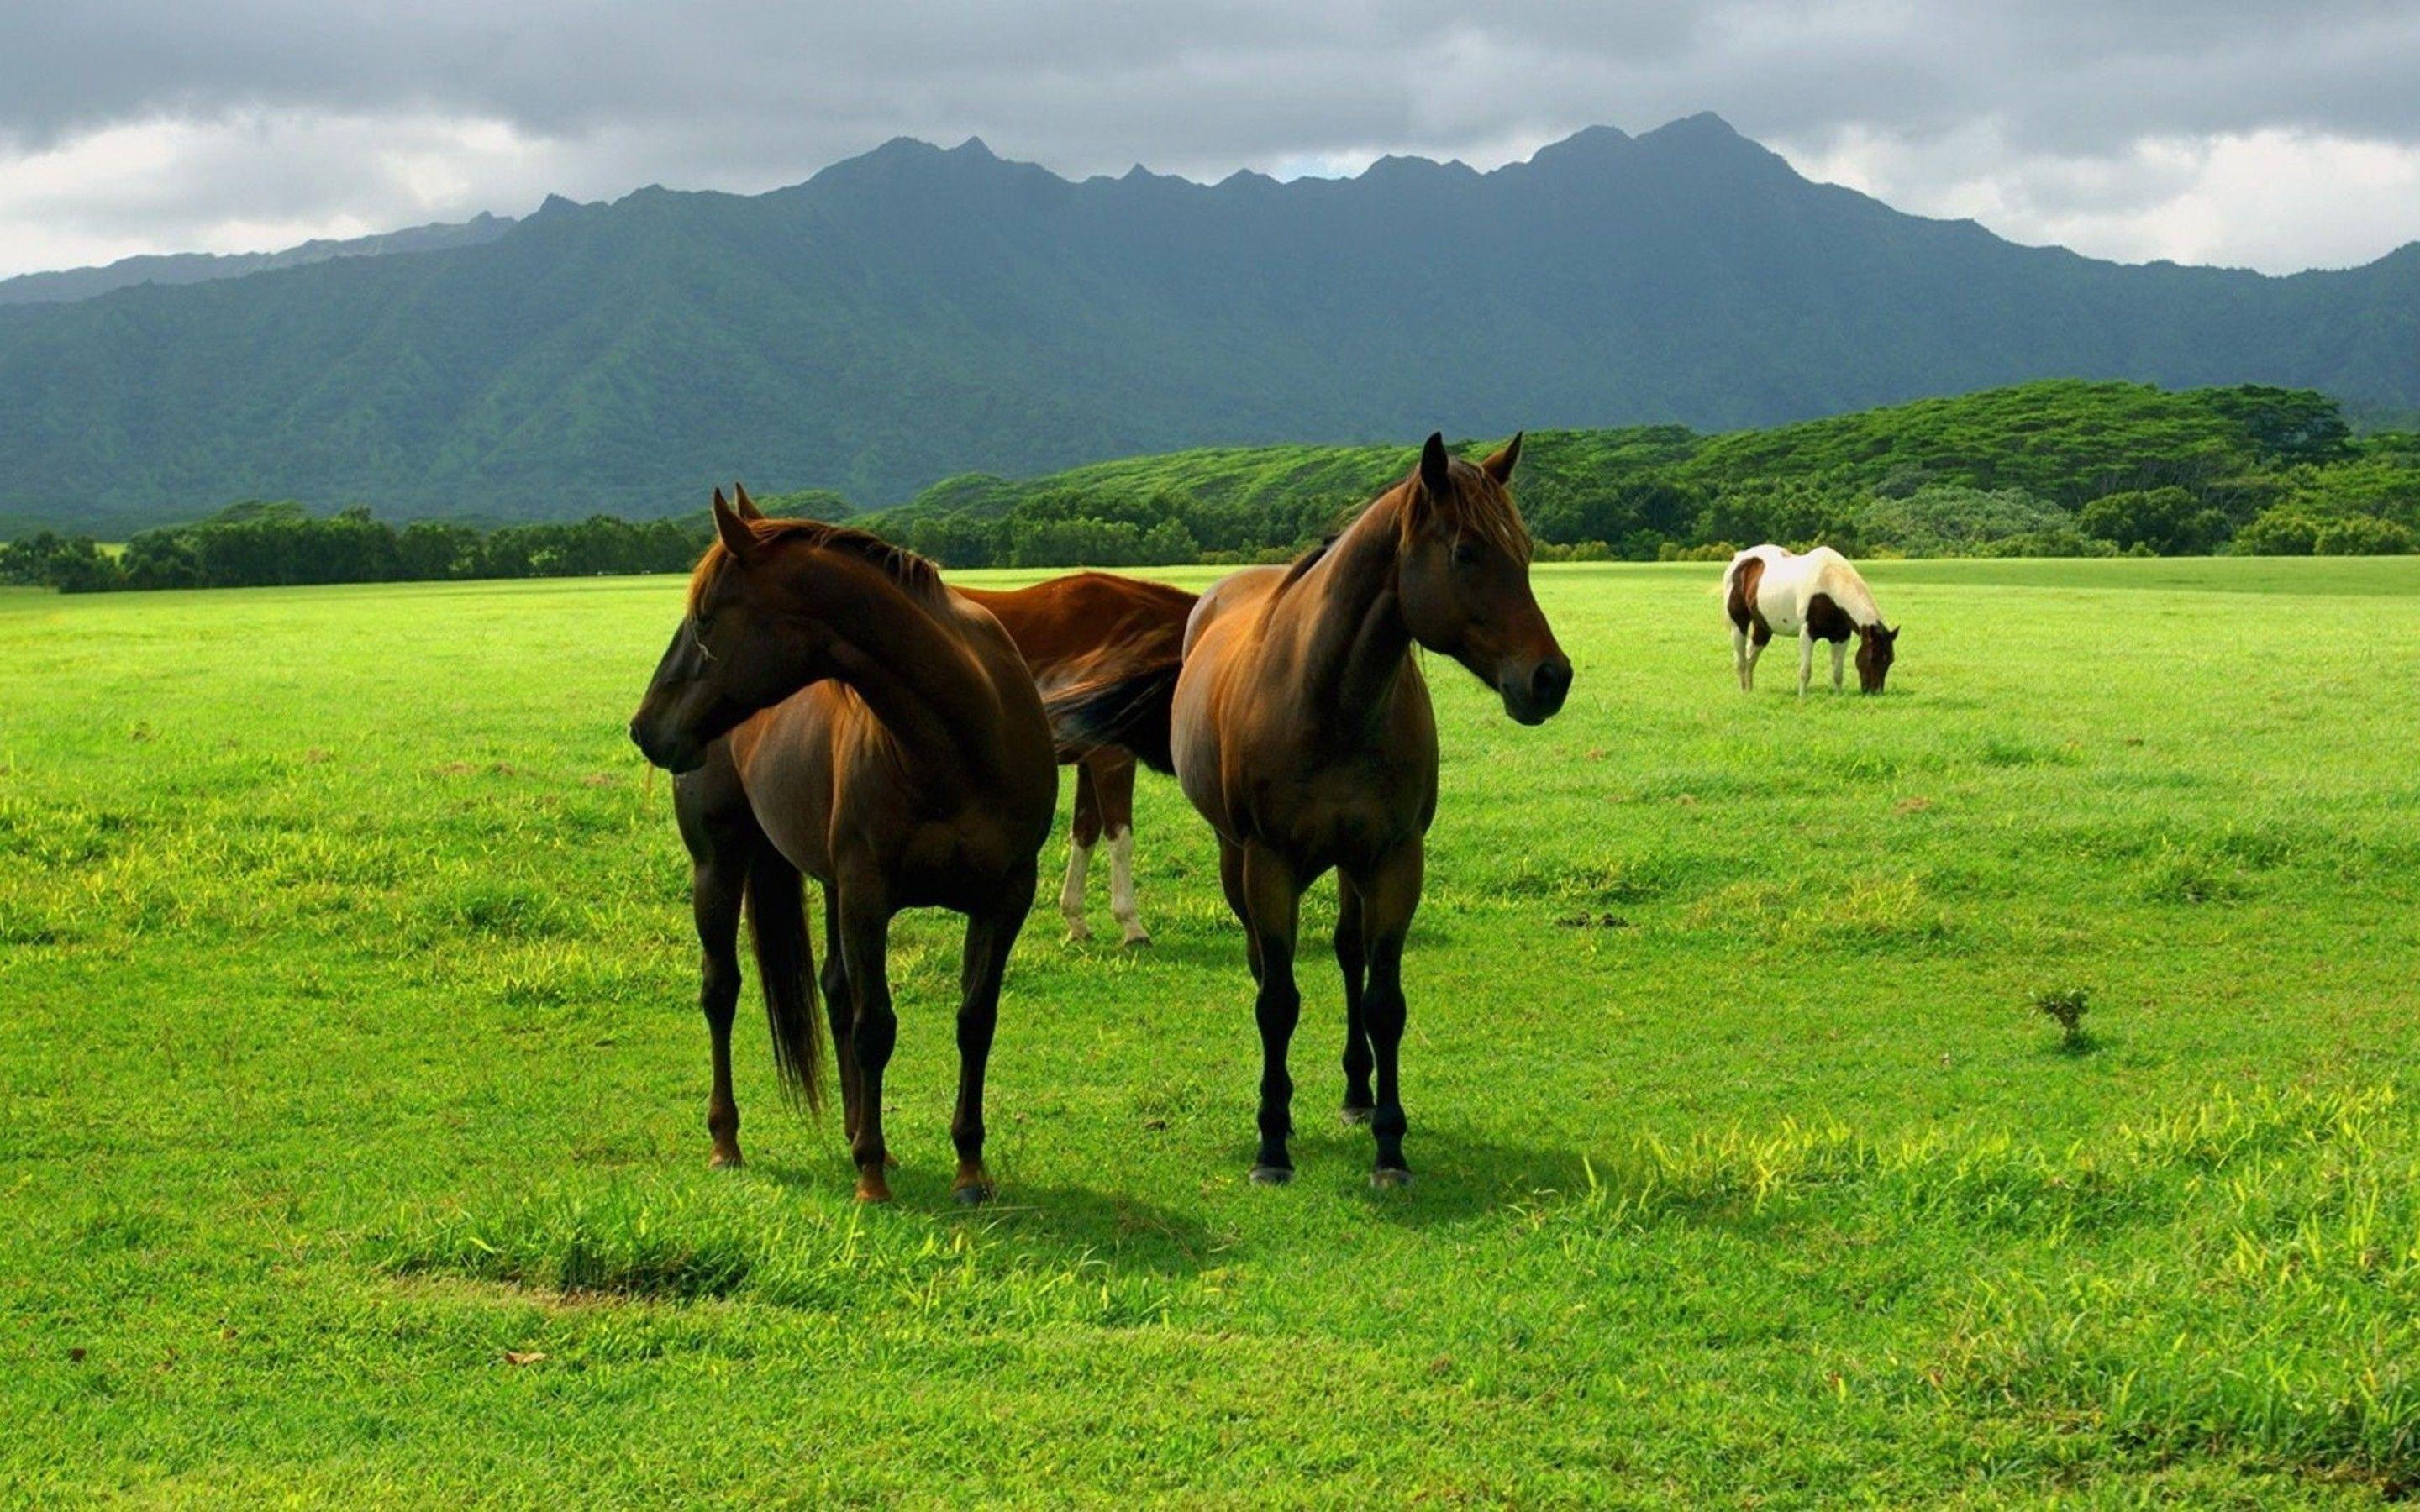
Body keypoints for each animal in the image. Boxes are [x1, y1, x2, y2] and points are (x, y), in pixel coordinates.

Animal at [627, 485, 1056, 1204]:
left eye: (706, 619)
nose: (644, 729)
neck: (959, 741)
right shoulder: (867, 895)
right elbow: (874, 1026)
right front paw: (872, 1178)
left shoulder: (1005, 898)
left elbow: (975, 1022)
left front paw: (969, 1167)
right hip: (720, 866)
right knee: (722, 990)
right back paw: (728, 1141)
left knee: (832, 989)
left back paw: (858, 1128)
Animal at [958, 573, 1198, 948]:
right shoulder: (1112, 758)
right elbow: (1120, 837)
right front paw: (1131, 925)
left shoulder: (1089, 760)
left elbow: (1085, 833)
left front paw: (1076, 920)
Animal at [1066, 433, 1569, 1188]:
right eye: (1466, 553)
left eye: (1527, 549)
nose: (1549, 678)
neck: (1330, 699)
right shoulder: (1269, 864)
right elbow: (1277, 1001)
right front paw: (1272, 1143)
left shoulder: (1394, 860)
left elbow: (1383, 1001)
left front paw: (1390, 1145)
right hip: (1237, 859)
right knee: (1262, 965)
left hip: (1350, 866)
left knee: (1348, 956)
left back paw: (1357, 1094)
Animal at [1721, 544, 1899, 695]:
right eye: (1874, 657)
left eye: (1890, 660)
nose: (1875, 692)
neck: (1829, 584)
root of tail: (1740, 557)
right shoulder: (1808, 634)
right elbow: (1805, 670)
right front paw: (1802, 698)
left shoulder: (1841, 637)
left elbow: (1837, 672)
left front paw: (1838, 696)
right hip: (1739, 624)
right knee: (1741, 661)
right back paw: (1743, 692)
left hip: (1763, 626)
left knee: (1751, 657)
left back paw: (1750, 690)